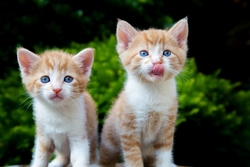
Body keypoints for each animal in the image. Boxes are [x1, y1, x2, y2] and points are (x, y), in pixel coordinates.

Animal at [97, 17, 188, 167]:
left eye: (167, 53)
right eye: (144, 53)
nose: (157, 62)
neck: (153, 91)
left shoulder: (166, 128)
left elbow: (164, 155)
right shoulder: (128, 130)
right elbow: (133, 158)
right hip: (110, 138)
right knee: (106, 157)